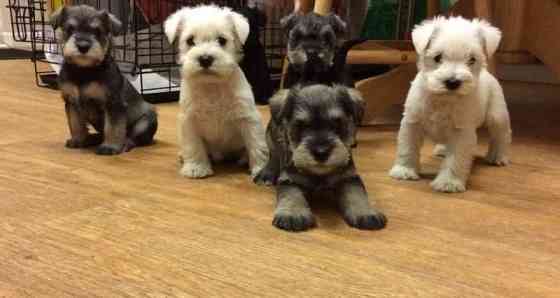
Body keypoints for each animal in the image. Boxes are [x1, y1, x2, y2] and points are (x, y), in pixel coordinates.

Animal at [50, 5, 158, 156]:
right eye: (70, 29)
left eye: (98, 31)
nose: (83, 46)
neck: (84, 70)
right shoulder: (71, 102)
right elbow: (75, 123)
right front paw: (78, 139)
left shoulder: (113, 104)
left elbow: (113, 127)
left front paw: (110, 146)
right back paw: (91, 138)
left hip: (146, 121)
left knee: (134, 137)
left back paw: (125, 143)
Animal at [164, 5, 270, 179]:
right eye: (190, 40)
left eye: (222, 40)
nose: (205, 59)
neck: (212, 85)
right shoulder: (189, 120)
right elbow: (194, 145)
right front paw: (196, 168)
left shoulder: (248, 119)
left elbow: (257, 144)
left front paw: (261, 169)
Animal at [390, 16, 512, 193]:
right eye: (437, 57)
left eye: (472, 59)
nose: (453, 82)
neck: (444, 99)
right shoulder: (412, 123)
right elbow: (407, 148)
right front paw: (404, 170)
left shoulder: (462, 132)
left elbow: (455, 159)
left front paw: (448, 182)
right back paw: (442, 149)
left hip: (497, 116)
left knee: (502, 136)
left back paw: (498, 157)